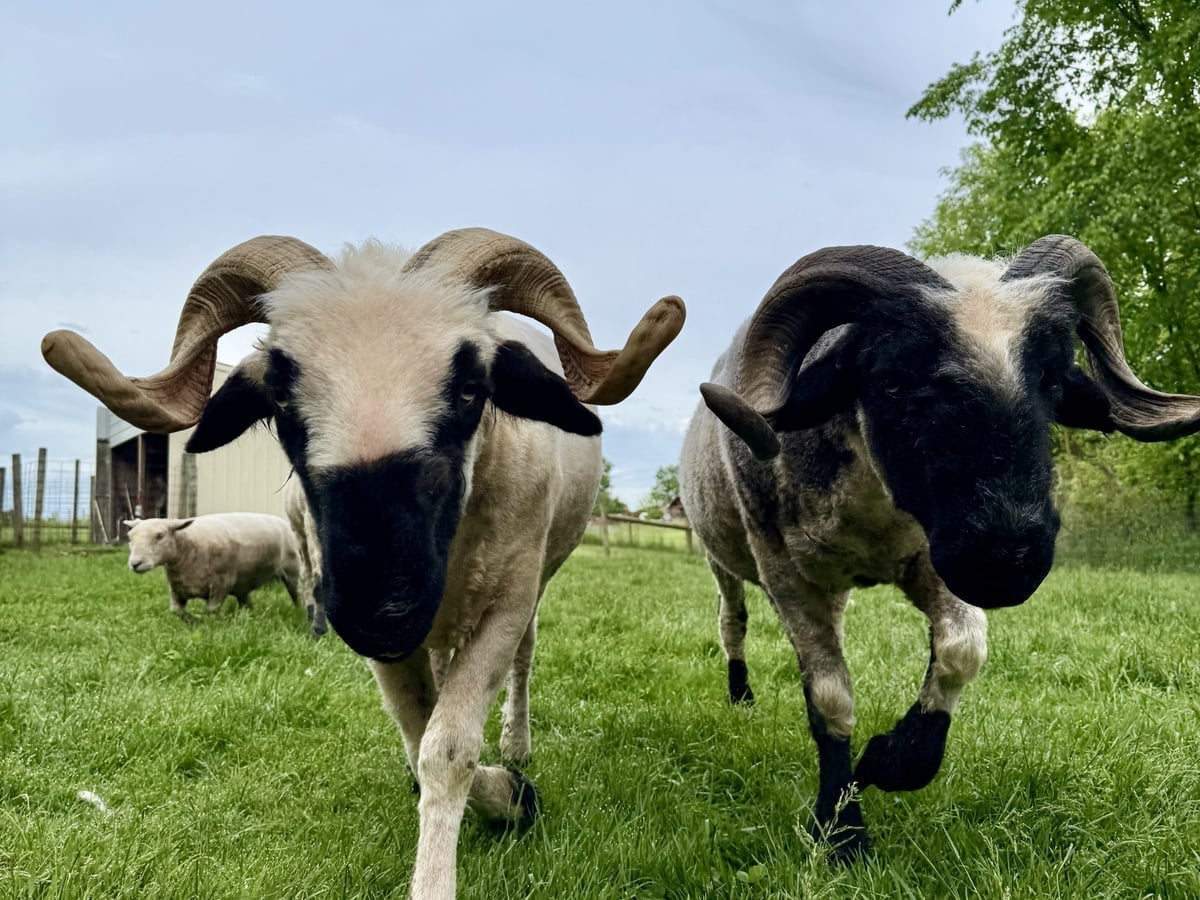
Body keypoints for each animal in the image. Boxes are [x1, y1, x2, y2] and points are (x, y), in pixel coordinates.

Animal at [124, 513, 302, 621]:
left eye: (160, 536)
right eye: (130, 537)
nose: (135, 564)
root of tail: (284, 523)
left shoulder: (222, 584)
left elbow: (211, 610)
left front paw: (206, 625)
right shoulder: (177, 588)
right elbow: (176, 610)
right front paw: (193, 622)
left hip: (292, 570)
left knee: (298, 595)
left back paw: (300, 613)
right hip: (241, 584)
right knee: (246, 603)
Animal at [679, 235, 1200, 861]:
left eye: (1052, 380)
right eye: (891, 381)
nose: (1006, 562)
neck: (873, 515)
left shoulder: (933, 562)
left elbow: (960, 651)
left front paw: (889, 760)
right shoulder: (788, 574)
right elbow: (830, 700)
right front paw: (842, 832)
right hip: (724, 561)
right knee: (732, 624)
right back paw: (742, 697)